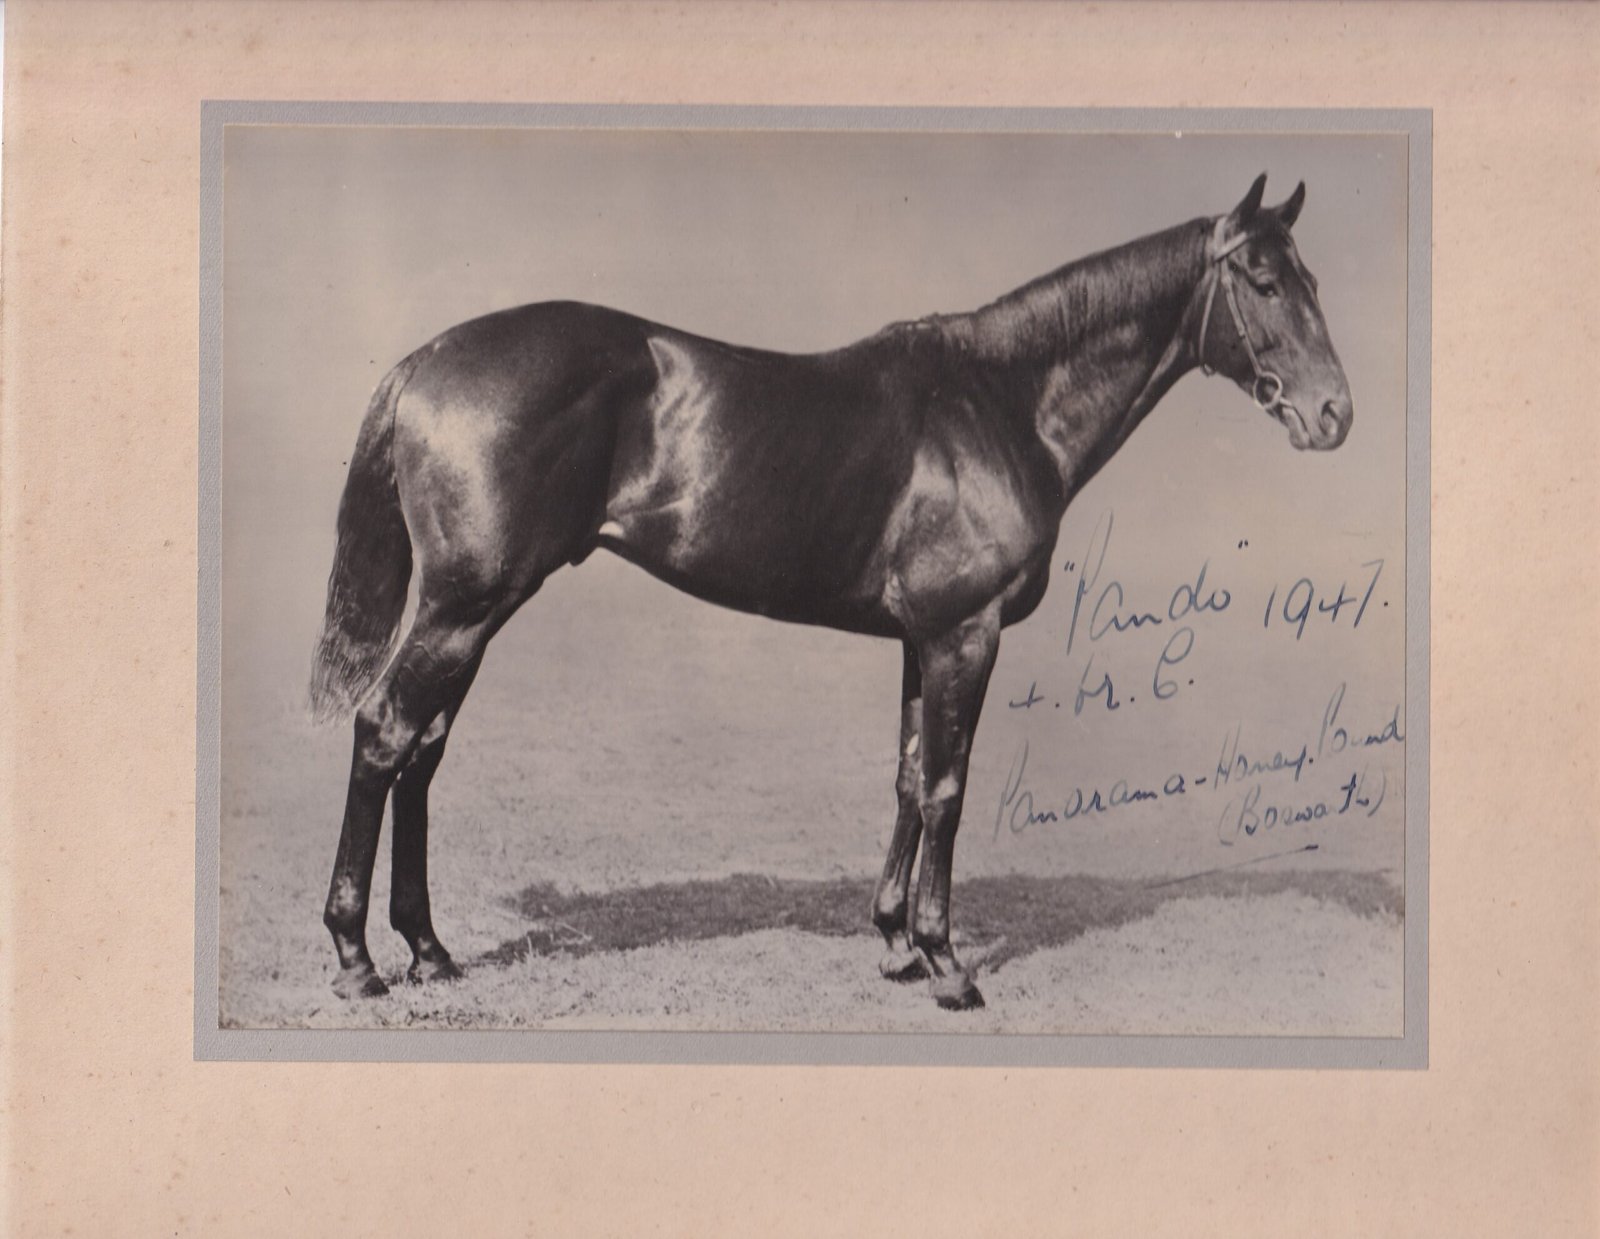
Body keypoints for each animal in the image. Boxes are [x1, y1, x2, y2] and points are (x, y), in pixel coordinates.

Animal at [302, 172, 1350, 1011]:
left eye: (1312, 280)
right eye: (1263, 282)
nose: (1334, 414)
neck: (999, 401)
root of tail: (427, 361)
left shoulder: (921, 638)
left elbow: (907, 774)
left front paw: (893, 943)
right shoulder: (967, 633)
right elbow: (947, 788)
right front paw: (946, 962)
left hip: (475, 613)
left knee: (423, 753)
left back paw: (430, 950)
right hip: (462, 609)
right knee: (386, 734)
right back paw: (357, 958)